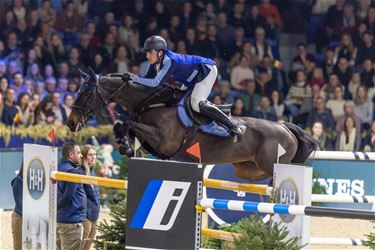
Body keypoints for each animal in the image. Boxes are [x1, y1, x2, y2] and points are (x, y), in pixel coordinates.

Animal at [67, 68, 318, 182]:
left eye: (86, 93)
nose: (70, 123)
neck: (154, 102)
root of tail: (285, 127)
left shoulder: (164, 140)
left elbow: (127, 122)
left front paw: (124, 144)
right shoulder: (153, 144)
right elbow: (125, 124)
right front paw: (125, 145)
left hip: (273, 164)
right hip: (249, 170)